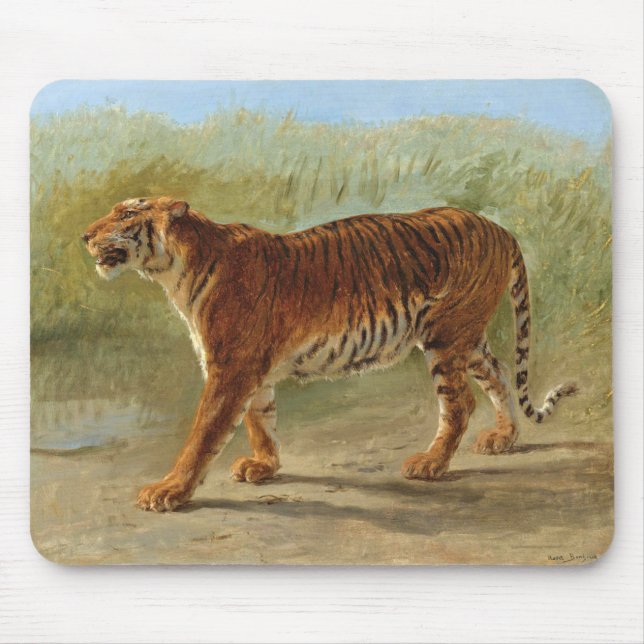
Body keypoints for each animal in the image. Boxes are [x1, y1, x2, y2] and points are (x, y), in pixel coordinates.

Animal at [82, 196, 577, 512]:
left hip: (446, 336)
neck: (175, 271)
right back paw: (503, 438)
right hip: (467, 338)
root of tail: (499, 227)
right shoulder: (253, 372)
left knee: (460, 403)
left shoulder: (230, 368)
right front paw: (264, 466)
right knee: (498, 372)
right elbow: (261, 419)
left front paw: (168, 491)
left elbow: (203, 435)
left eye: (126, 213)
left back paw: (430, 464)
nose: (85, 235)